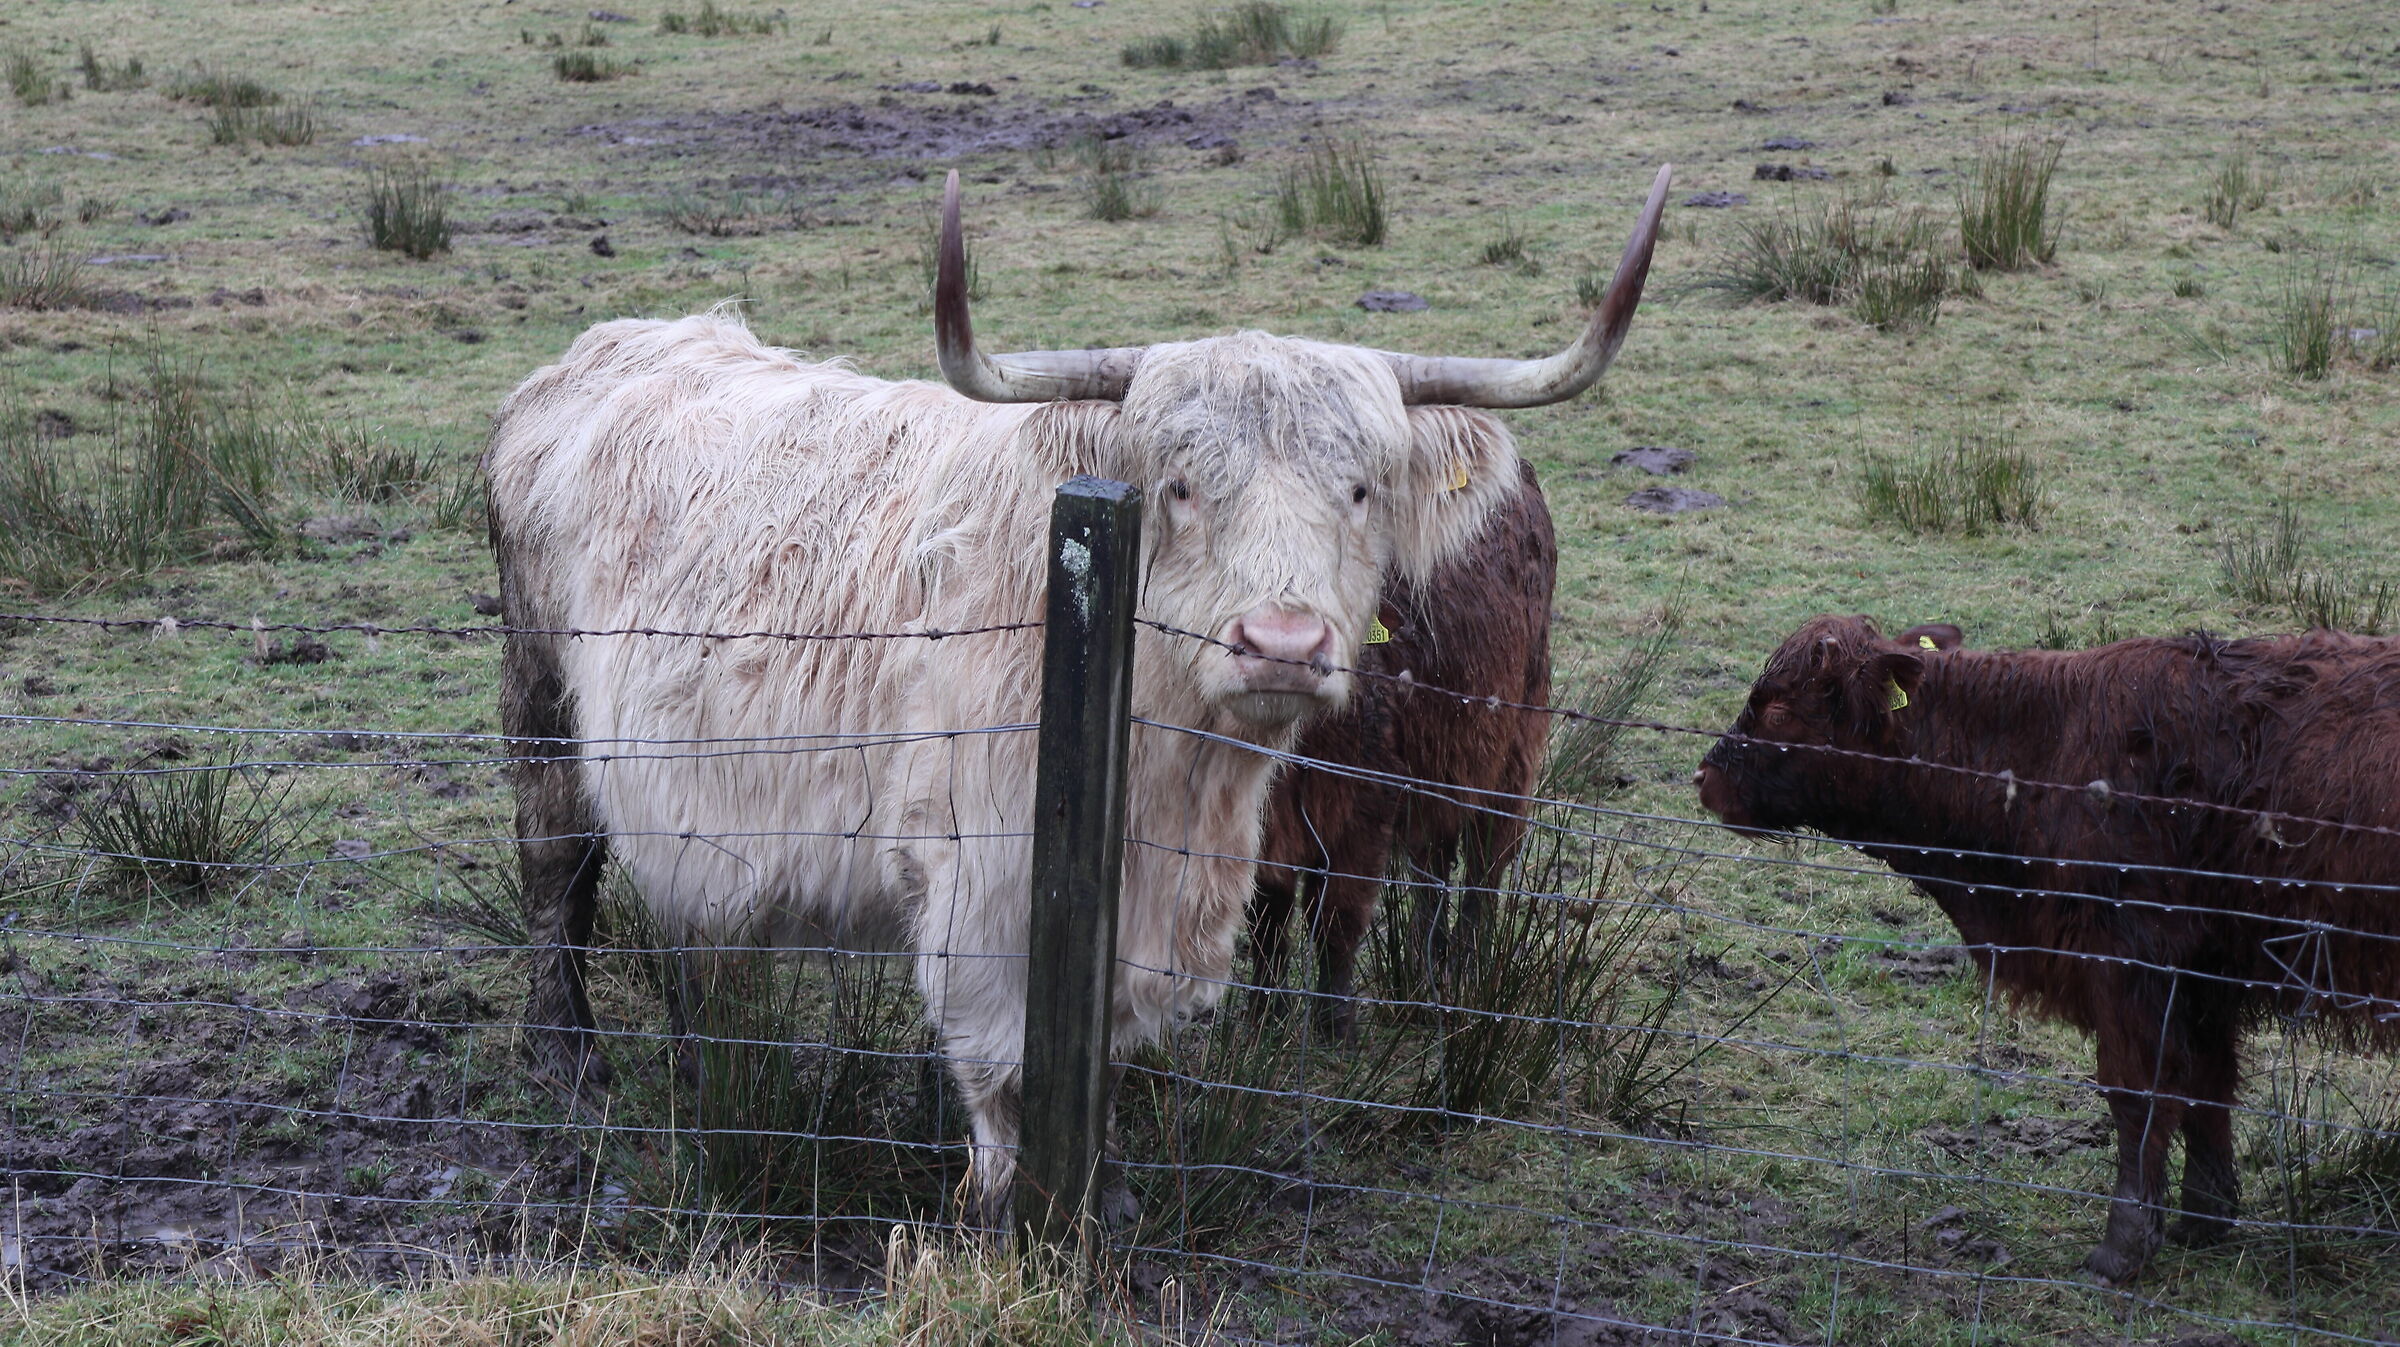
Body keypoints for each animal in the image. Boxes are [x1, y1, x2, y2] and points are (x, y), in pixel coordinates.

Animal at [1249, 458, 1555, 1039]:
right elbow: (1266, 919)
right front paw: (1262, 1024)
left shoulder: (1366, 796)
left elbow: (1336, 916)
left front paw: (1335, 1028)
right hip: (1442, 753)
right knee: (1433, 861)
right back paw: (1426, 969)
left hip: (1514, 739)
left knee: (1487, 859)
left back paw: (1469, 970)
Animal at [1694, 615, 2400, 1283]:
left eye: (1779, 711)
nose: (1704, 776)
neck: (2042, 749)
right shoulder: (2201, 971)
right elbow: (2207, 1082)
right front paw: (2205, 1217)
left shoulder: (2129, 955)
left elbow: (2138, 1092)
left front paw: (2124, 1248)